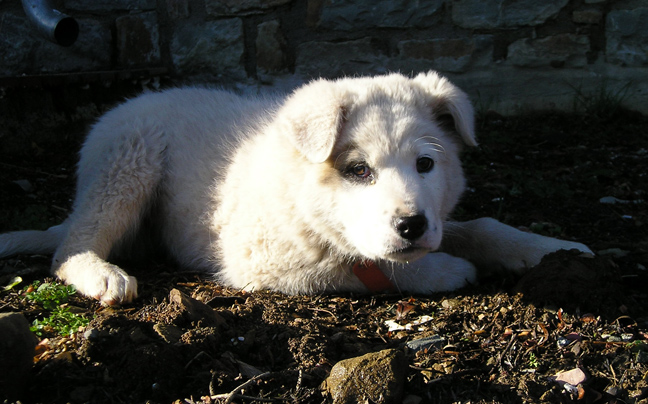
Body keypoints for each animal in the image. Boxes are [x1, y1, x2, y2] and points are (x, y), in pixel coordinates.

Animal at [0, 73, 588, 306]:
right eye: (359, 170)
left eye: (426, 164)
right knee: (68, 245)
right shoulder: (263, 260)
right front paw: (445, 271)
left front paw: (553, 249)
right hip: (126, 164)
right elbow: (361, 264)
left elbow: (480, 226)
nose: (411, 225)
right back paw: (101, 273)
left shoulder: (437, 219)